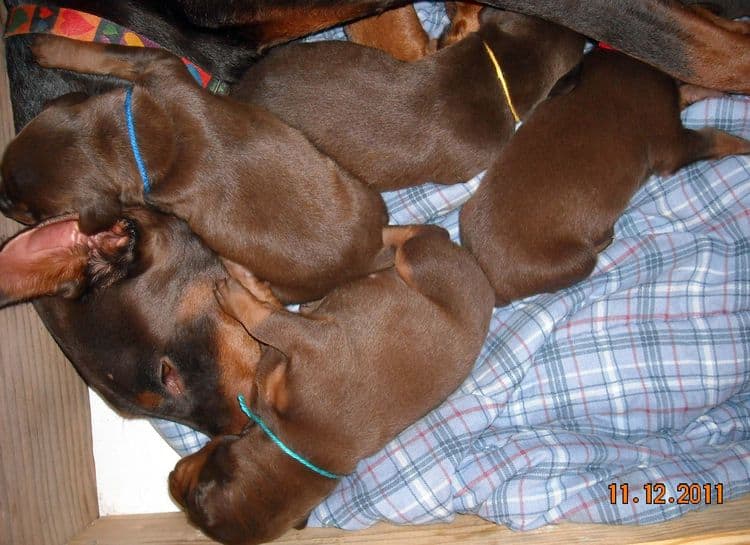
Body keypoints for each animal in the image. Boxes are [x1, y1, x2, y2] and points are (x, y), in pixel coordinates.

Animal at [0, 36, 388, 304]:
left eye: (30, 212)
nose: (2, 205)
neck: (133, 138)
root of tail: (375, 252)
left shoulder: (158, 65)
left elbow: (112, 53)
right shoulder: (158, 66)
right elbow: (106, 53)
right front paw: (49, 46)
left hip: (290, 287)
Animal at [168, 224, 496, 544]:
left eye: (192, 498)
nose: (170, 479)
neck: (290, 440)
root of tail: (482, 277)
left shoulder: (307, 343)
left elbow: (268, 321)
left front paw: (236, 293)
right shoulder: (282, 355)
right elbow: (271, 312)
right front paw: (251, 282)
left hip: (421, 265)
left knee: (417, 237)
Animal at [458, 47, 750, 306]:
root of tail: (490, 282)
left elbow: (688, 92)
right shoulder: (670, 145)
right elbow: (715, 137)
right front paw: (742, 143)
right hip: (576, 260)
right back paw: (604, 236)